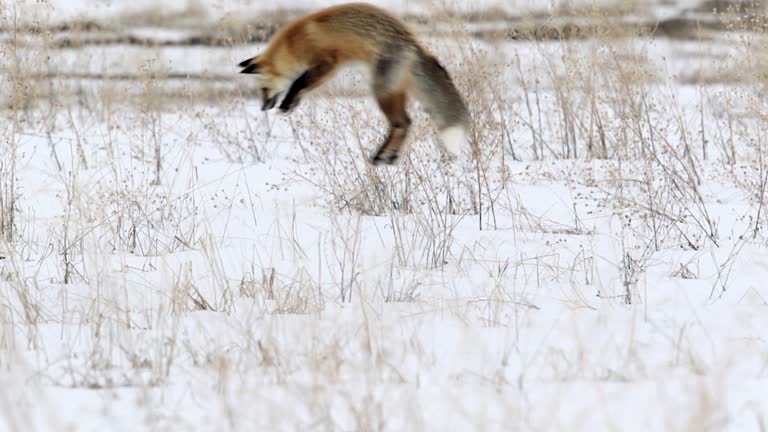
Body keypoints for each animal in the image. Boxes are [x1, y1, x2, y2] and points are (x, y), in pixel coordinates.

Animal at [238, 2, 470, 165]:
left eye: (263, 89)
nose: (263, 107)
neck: (293, 44)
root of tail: (413, 44)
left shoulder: (327, 63)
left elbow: (298, 83)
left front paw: (286, 104)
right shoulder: (325, 69)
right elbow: (301, 87)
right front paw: (290, 105)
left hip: (381, 91)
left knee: (402, 123)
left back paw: (381, 156)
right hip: (394, 90)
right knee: (407, 122)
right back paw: (388, 157)